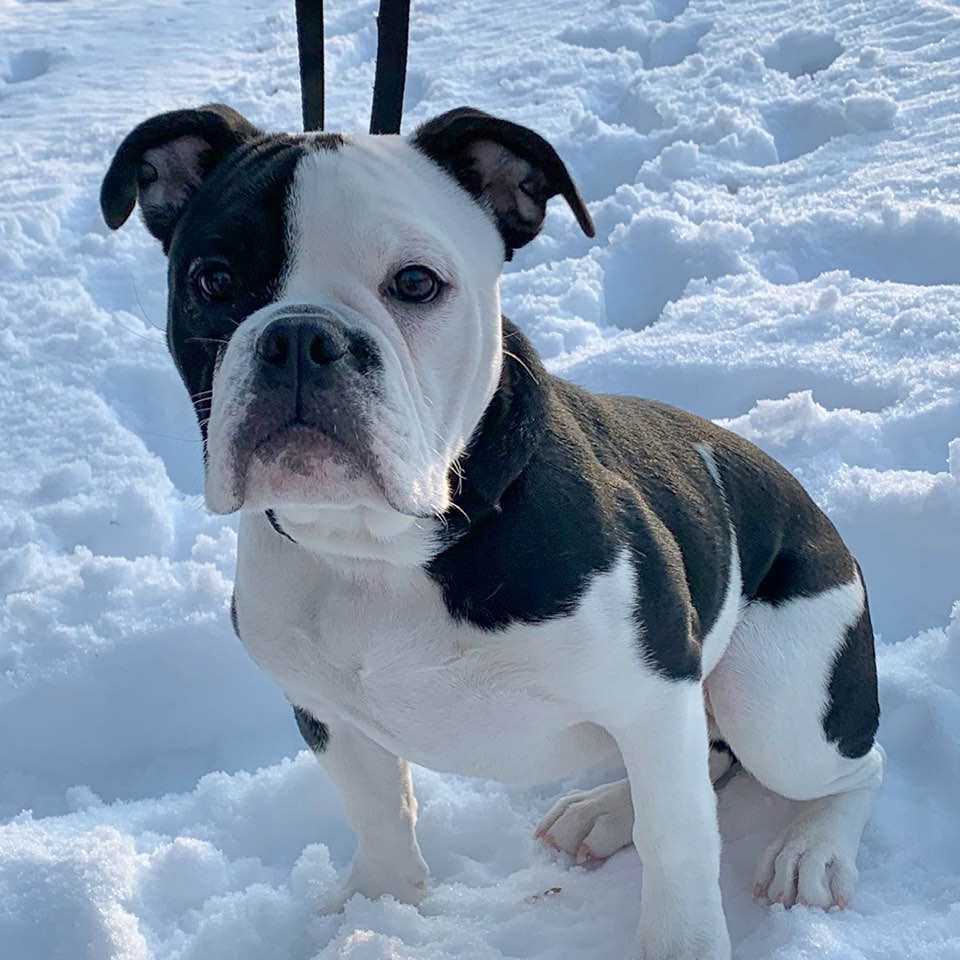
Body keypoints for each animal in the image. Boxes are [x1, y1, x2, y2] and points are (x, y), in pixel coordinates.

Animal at [101, 103, 884, 960]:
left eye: (416, 283)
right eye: (211, 280)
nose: (300, 338)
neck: (380, 546)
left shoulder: (652, 691)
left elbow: (678, 845)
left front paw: (683, 944)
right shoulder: (328, 711)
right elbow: (378, 810)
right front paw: (381, 904)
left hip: (778, 700)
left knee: (842, 765)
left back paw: (812, 850)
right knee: (707, 760)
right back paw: (606, 811)